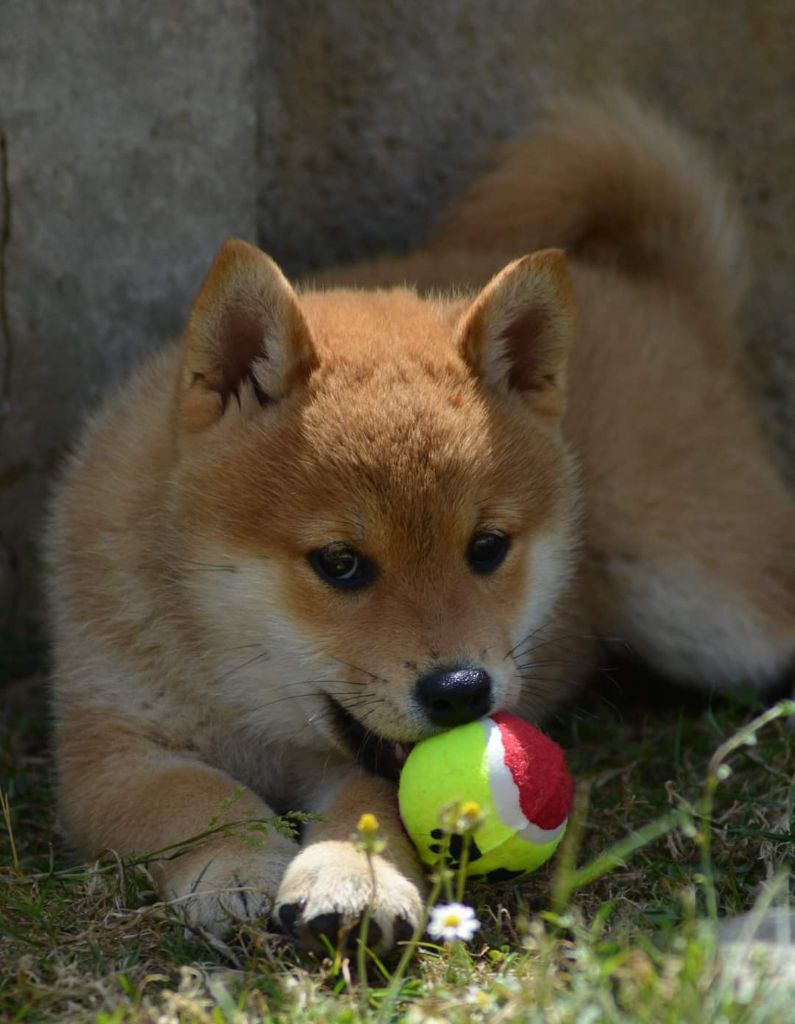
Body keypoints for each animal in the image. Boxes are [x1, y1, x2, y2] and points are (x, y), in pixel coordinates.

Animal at [45, 94, 795, 950]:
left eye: (487, 548)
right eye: (339, 562)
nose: (462, 691)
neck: (250, 704)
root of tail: (670, 296)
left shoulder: (363, 760)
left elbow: (369, 805)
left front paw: (353, 877)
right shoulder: (108, 747)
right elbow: (191, 801)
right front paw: (234, 863)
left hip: (701, 600)